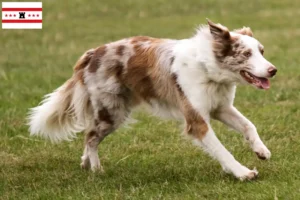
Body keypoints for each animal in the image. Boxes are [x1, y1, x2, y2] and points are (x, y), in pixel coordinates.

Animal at [28, 19, 276, 180]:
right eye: (246, 54)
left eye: (262, 51)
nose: (273, 70)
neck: (210, 70)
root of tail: (92, 54)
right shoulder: (197, 120)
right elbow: (221, 149)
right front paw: (242, 172)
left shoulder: (220, 107)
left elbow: (249, 125)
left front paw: (261, 150)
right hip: (112, 112)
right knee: (90, 137)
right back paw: (97, 169)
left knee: (89, 136)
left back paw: (85, 163)